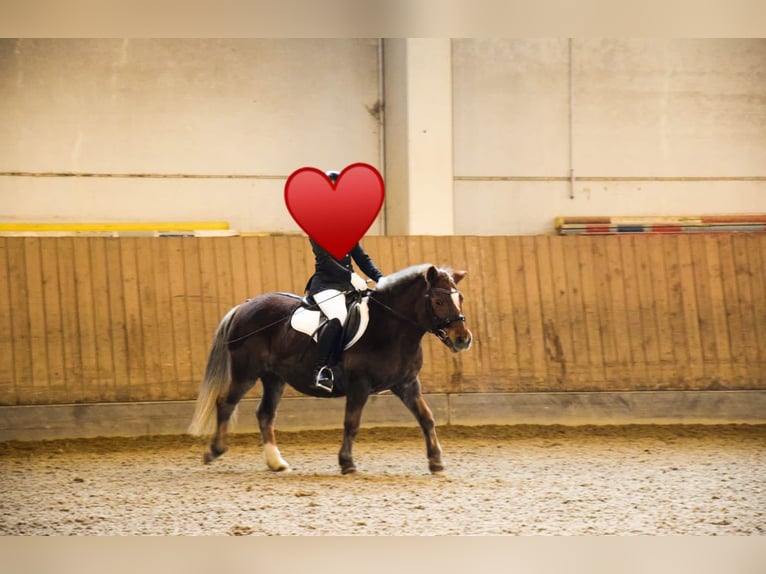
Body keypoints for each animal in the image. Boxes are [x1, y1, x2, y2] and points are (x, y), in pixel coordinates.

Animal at [188, 264, 474, 476]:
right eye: (438, 301)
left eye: (460, 298)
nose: (463, 339)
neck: (390, 328)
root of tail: (243, 306)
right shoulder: (360, 384)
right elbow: (352, 422)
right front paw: (347, 463)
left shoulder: (407, 384)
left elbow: (427, 418)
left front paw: (436, 462)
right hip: (246, 372)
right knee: (225, 403)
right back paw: (215, 450)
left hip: (274, 378)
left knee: (265, 414)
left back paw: (275, 462)